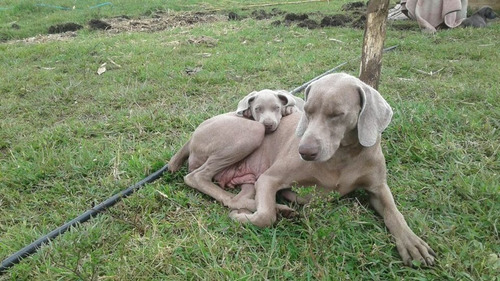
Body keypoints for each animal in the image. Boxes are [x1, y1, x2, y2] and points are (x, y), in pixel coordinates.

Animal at [168, 72, 434, 264]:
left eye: (337, 114)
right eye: (307, 111)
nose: (304, 152)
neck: (344, 156)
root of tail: (191, 137)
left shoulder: (378, 187)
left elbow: (394, 213)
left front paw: (412, 243)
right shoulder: (270, 178)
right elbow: (265, 216)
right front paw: (243, 218)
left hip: (247, 176)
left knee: (241, 195)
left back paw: (277, 208)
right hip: (251, 132)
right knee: (197, 177)